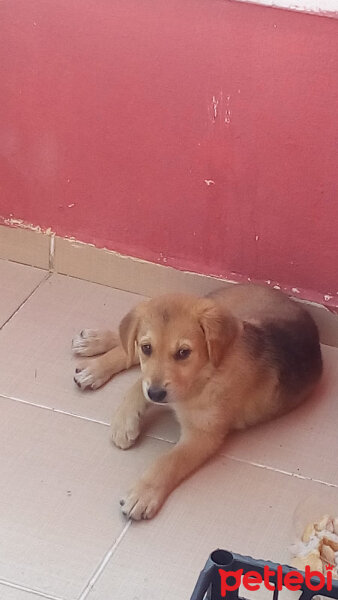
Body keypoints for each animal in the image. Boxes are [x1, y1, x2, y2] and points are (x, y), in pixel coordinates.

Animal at [73, 284, 322, 520]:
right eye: (148, 348)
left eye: (184, 353)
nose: (156, 394)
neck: (206, 375)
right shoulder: (153, 380)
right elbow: (138, 382)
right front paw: (124, 422)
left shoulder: (202, 435)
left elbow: (169, 461)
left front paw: (143, 493)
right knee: (127, 344)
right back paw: (93, 352)